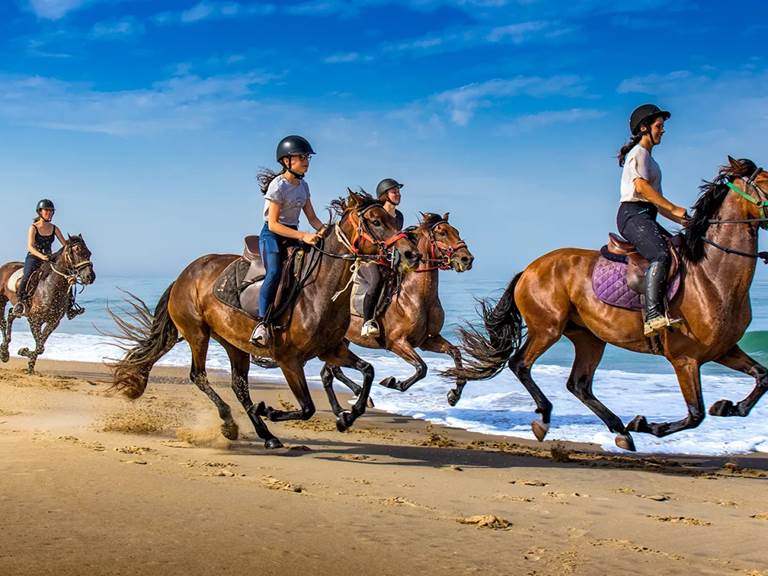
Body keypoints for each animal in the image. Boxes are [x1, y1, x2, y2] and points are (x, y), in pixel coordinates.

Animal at [0, 235, 95, 374]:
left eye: (89, 253)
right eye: (77, 251)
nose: (90, 277)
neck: (51, 286)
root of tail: (5, 265)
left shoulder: (53, 322)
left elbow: (40, 346)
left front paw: (30, 365)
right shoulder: (34, 320)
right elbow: (40, 345)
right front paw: (23, 351)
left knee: (11, 315)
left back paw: (6, 349)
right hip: (2, 300)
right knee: (3, 322)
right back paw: (4, 353)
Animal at [109, 190, 420, 449]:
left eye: (392, 218)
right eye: (376, 221)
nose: (411, 254)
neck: (319, 290)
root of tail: (183, 276)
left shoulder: (332, 350)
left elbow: (368, 371)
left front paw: (347, 416)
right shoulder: (288, 360)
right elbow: (307, 407)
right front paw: (269, 409)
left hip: (233, 343)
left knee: (239, 385)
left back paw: (265, 435)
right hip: (197, 333)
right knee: (199, 375)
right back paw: (231, 423)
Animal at [321, 212, 474, 416]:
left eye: (456, 231)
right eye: (442, 232)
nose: (467, 259)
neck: (417, 296)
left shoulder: (428, 340)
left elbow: (455, 353)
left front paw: (454, 395)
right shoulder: (396, 342)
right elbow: (422, 368)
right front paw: (393, 382)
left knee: (329, 372)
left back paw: (346, 406)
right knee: (330, 372)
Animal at [446, 157, 768, 451]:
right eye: (766, 182)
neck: (711, 275)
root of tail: (528, 269)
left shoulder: (722, 349)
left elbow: (763, 377)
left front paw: (729, 406)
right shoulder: (684, 358)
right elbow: (695, 414)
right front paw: (646, 424)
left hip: (589, 337)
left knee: (578, 384)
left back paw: (619, 430)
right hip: (547, 328)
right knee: (521, 364)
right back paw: (546, 418)